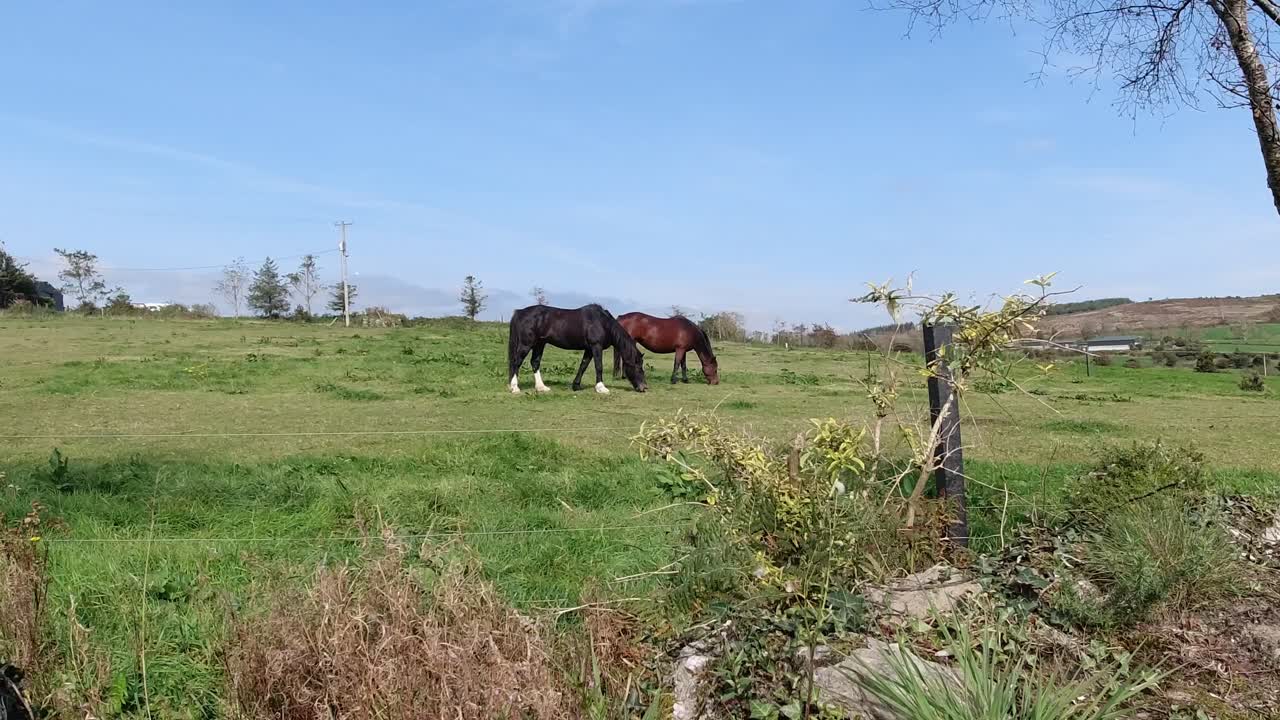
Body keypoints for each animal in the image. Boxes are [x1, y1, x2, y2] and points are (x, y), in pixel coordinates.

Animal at [507, 304, 648, 394]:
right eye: (638, 367)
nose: (644, 387)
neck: (602, 323)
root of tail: (520, 312)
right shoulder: (596, 346)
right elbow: (599, 366)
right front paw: (601, 388)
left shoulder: (589, 349)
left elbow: (583, 366)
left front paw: (576, 386)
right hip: (526, 344)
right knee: (516, 362)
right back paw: (514, 388)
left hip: (539, 344)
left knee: (535, 362)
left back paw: (541, 388)